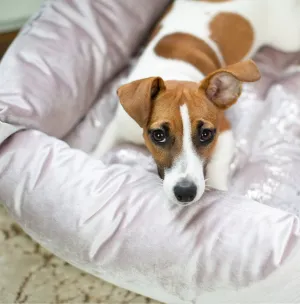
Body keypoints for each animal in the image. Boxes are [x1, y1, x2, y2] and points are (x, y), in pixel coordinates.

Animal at [92, 0, 300, 205]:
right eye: (159, 135)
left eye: (206, 134)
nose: (185, 192)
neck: (176, 72)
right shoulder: (118, 127)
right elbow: (99, 151)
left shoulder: (224, 131)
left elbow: (217, 169)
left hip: (287, 37)